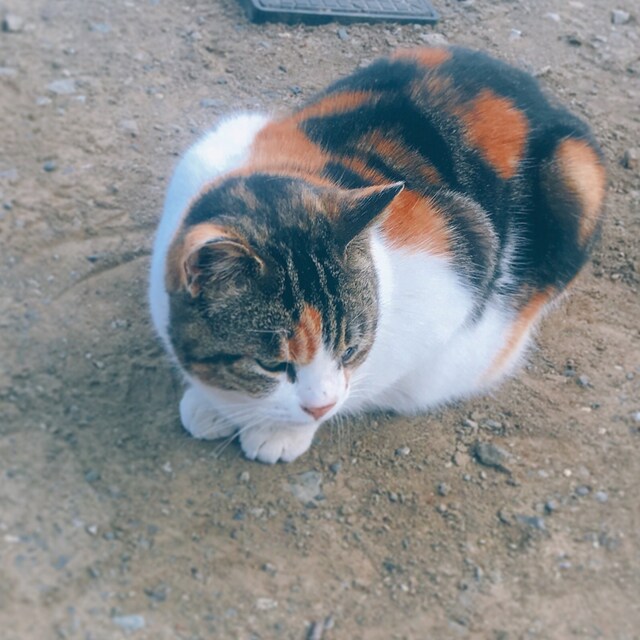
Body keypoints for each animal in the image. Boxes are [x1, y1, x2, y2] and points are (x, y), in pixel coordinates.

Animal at [149, 46, 606, 464]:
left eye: (350, 351)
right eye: (271, 365)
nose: (319, 406)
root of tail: (544, 98)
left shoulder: (458, 264)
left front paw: (276, 429)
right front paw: (214, 404)